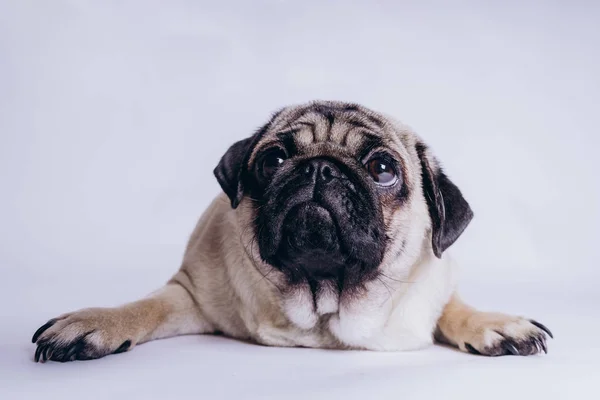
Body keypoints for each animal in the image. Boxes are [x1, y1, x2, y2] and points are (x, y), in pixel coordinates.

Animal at [30, 101, 552, 362]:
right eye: (274, 159)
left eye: (383, 168)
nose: (320, 167)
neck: (322, 305)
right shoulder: (190, 292)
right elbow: (146, 306)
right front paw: (97, 322)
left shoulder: (436, 284)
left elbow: (454, 306)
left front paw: (495, 324)